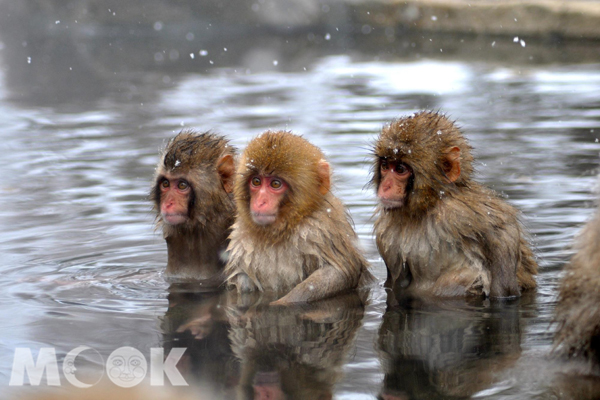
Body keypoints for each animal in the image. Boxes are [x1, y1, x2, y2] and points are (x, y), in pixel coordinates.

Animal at [226, 130, 370, 304]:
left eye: (275, 184)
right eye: (256, 181)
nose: (260, 202)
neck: (277, 234)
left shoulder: (319, 229)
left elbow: (341, 272)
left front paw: (279, 303)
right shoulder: (241, 240)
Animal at [372, 111, 536, 298]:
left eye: (400, 169)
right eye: (385, 166)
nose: (386, 186)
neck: (425, 209)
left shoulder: (461, 211)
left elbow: (503, 231)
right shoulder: (386, 234)